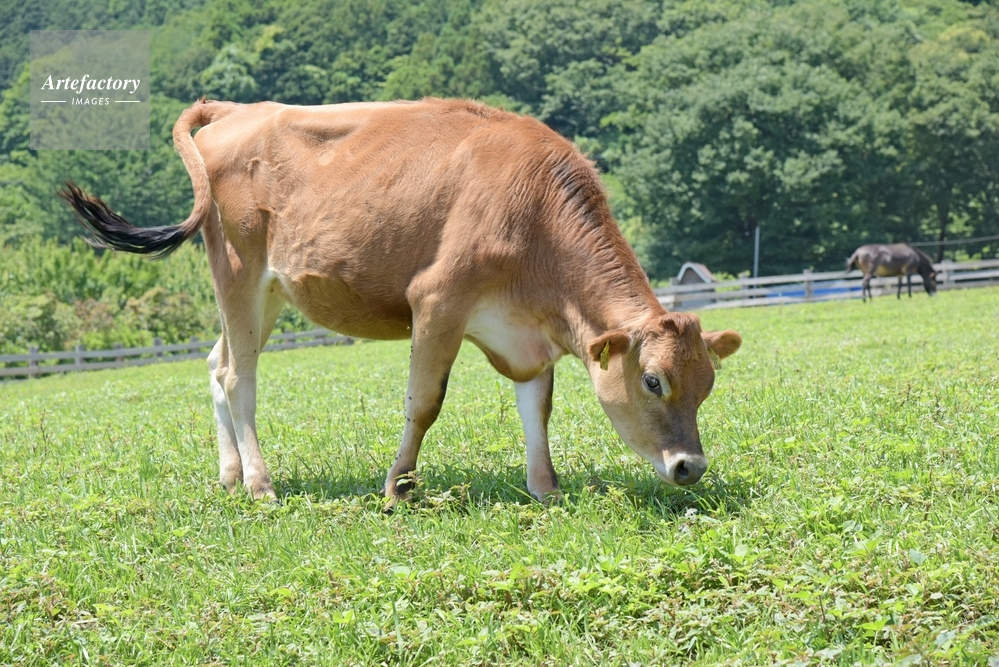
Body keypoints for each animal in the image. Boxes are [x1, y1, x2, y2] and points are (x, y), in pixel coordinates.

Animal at [60, 98, 742, 505]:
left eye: (708, 385)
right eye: (652, 381)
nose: (690, 466)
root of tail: (238, 109)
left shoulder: (527, 336)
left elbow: (537, 409)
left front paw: (544, 487)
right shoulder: (437, 301)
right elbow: (424, 404)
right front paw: (398, 487)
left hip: (271, 292)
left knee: (214, 362)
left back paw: (229, 475)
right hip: (237, 270)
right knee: (237, 377)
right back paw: (259, 483)